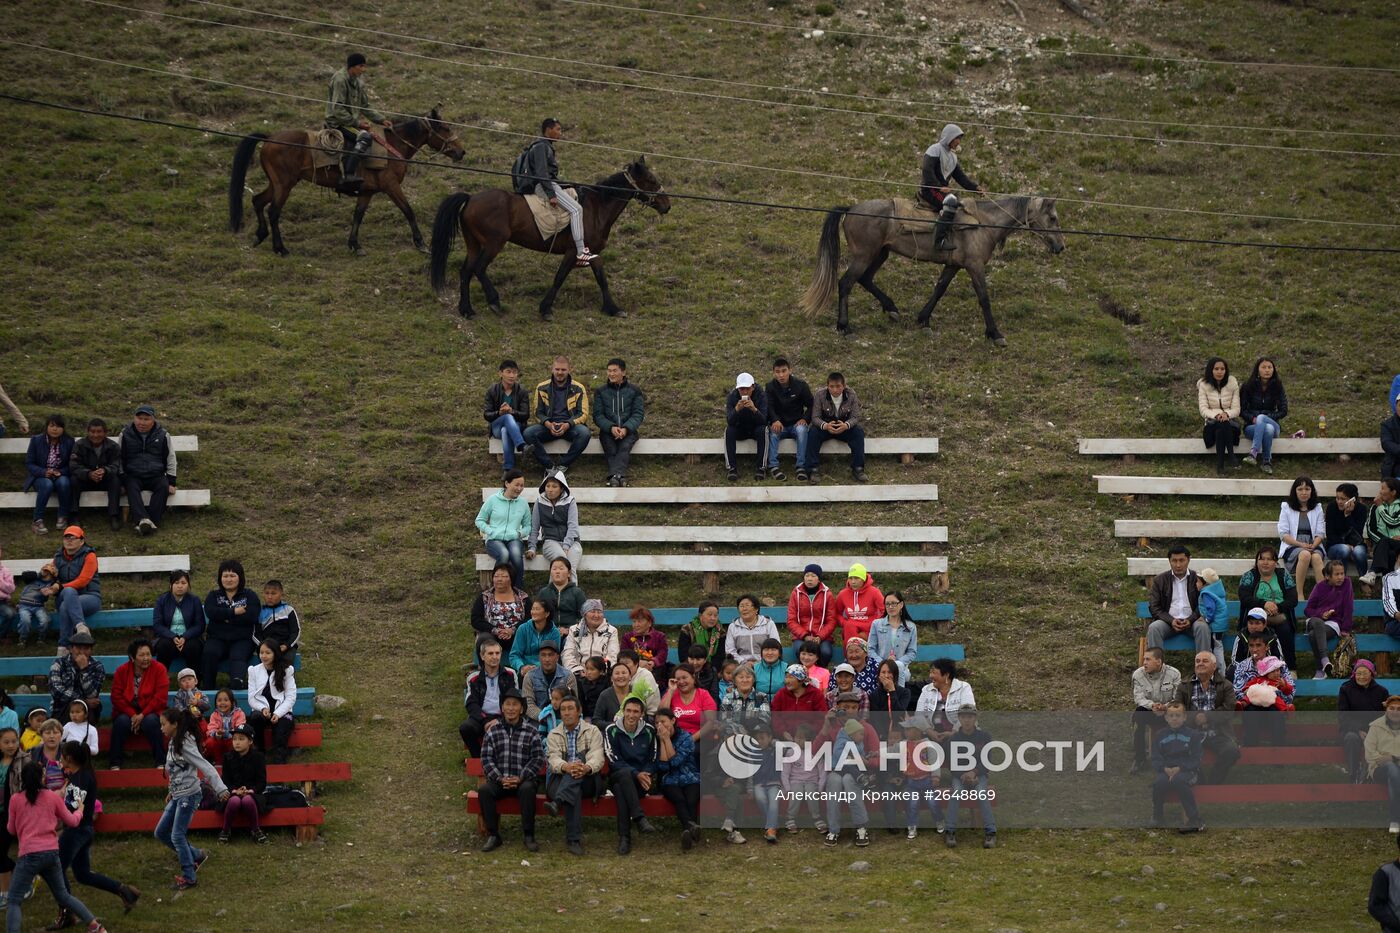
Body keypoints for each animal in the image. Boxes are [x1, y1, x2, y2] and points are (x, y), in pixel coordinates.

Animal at [228, 112, 464, 257]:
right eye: (445, 128)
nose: (461, 152)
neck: (392, 148)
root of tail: (269, 138)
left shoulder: (367, 191)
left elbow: (358, 215)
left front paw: (354, 245)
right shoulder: (391, 187)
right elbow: (408, 211)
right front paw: (421, 243)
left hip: (278, 184)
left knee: (258, 201)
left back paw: (260, 235)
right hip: (284, 185)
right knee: (274, 212)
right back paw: (280, 248)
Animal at [422, 156, 669, 319]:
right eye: (650, 180)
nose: (667, 204)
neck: (597, 207)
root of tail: (471, 198)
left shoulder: (592, 253)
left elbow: (602, 278)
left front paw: (613, 308)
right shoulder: (573, 251)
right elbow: (559, 278)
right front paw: (545, 308)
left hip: (475, 244)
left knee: (466, 271)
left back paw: (467, 310)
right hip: (494, 243)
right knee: (479, 269)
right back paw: (494, 301)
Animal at [806, 194, 1064, 343]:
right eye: (1052, 217)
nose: (1060, 246)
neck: (984, 223)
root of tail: (851, 209)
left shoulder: (953, 266)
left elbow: (939, 290)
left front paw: (923, 319)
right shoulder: (974, 266)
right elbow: (983, 298)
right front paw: (994, 333)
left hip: (880, 253)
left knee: (865, 280)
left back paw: (891, 308)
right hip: (864, 255)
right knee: (846, 283)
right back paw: (844, 326)